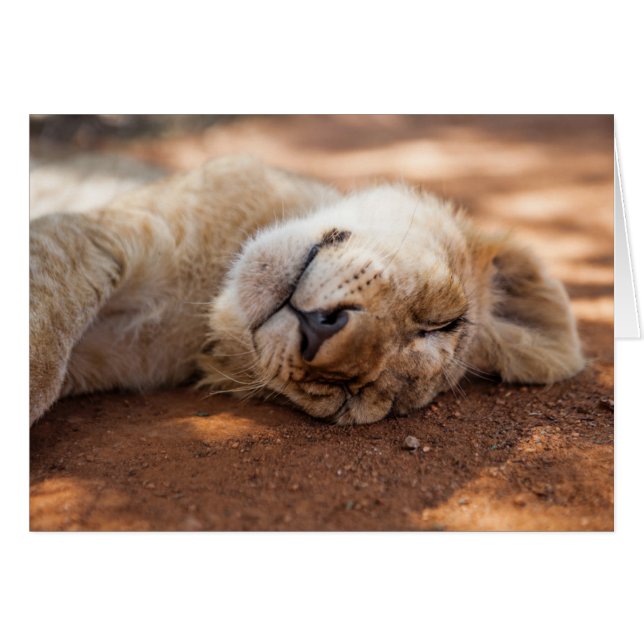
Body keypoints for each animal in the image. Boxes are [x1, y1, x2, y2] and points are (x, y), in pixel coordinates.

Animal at [29, 155, 584, 426]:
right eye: (439, 321)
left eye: (344, 399)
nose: (318, 332)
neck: (205, 291)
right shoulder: (99, 231)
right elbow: (43, 352)